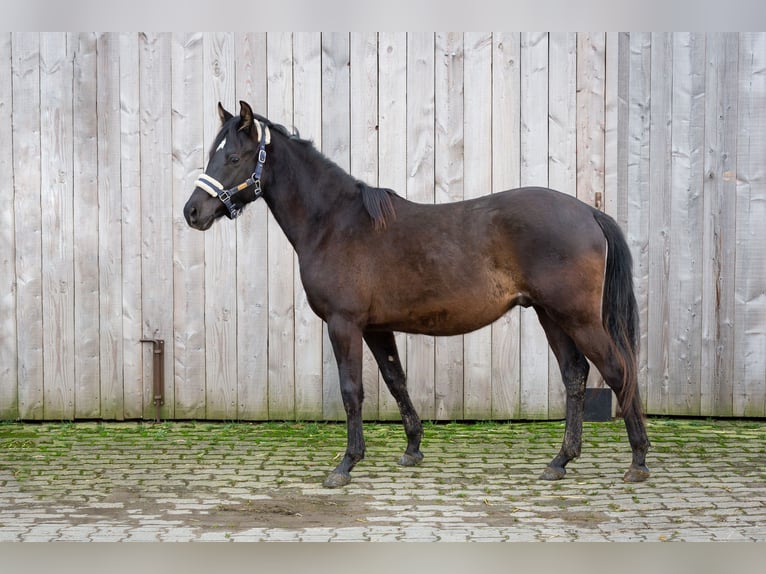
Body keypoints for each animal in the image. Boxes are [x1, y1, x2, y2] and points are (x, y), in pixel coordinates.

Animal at [183, 101, 652, 488]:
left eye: (234, 157)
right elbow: (396, 380)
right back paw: (561, 461)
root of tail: (587, 211)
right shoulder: (375, 328)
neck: (335, 223)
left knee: (617, 370)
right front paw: (412, 449)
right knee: (575, 375)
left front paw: (345, 465)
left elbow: (352, 390)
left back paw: (638, 460)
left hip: (577, 317)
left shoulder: (344, 324)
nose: (192, 212)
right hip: (550, 315)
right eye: (213, 155)